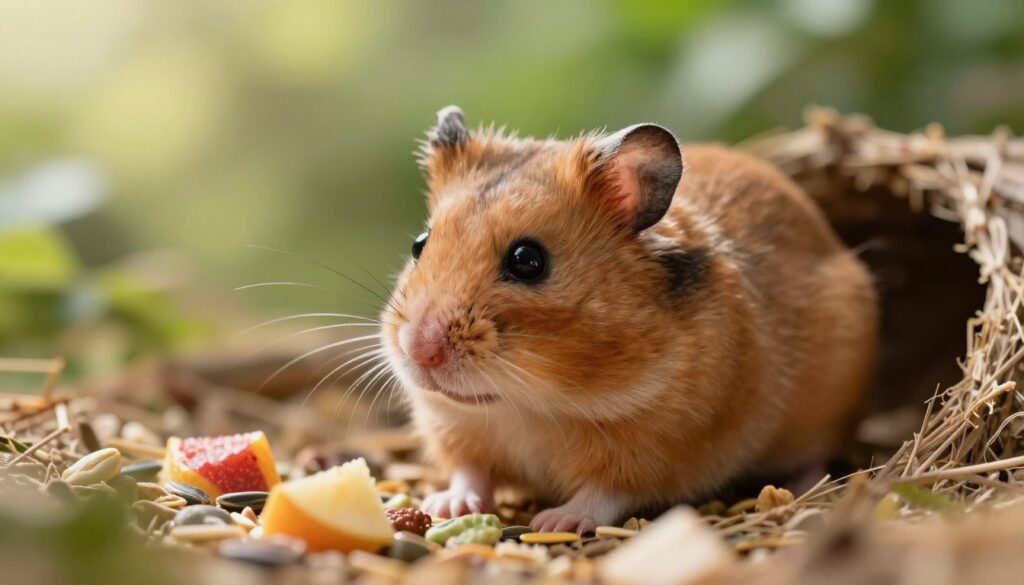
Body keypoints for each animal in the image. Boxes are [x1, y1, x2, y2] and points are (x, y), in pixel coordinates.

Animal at [381, 106, 878, 533]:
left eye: (527, 261)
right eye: (419, 244)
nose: (420, 350)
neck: (529, 406)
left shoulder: (660, 453)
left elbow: (604, 493)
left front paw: (554, 522)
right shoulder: (456, 427)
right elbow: (470, 472)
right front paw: (444, 505)